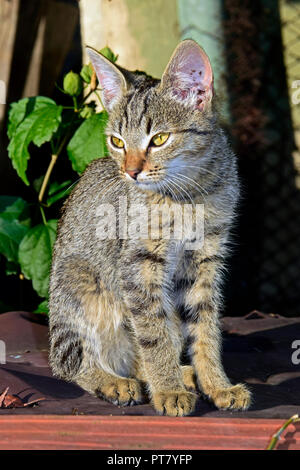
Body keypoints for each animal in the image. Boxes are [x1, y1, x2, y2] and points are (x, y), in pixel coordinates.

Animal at [49, 39, 251, 414]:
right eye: (117, 142)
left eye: (159, 139)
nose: (130, 171)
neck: (189, 196)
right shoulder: (138, 267)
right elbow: (153, 334)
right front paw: (168, 389)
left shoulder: (205, 262)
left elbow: (205, 329)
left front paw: (216, 384)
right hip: (79, 285)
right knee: (68, 362)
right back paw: (114, 381)